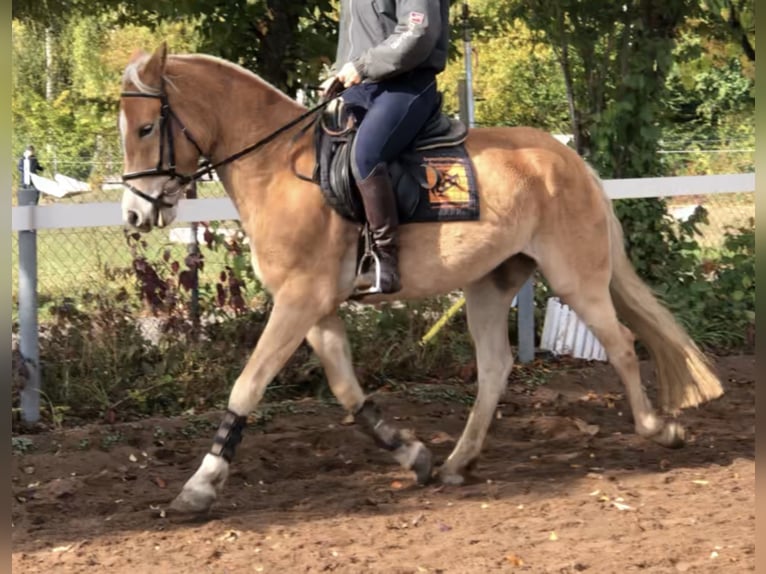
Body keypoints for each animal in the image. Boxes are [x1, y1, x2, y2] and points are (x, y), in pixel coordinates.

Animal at [118, 42, 728, 516]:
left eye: (147, 126)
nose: (134, 214)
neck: (278, 168)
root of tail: (571, 161)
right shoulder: (317, 308)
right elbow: (347, 390)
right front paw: (413, 455)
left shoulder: (299, 301)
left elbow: (247, 385)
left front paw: (199, 488)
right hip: (489, 285)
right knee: (495, 367)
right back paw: (459, 461)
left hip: (576, 278)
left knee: (621, 344)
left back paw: (660, 430)